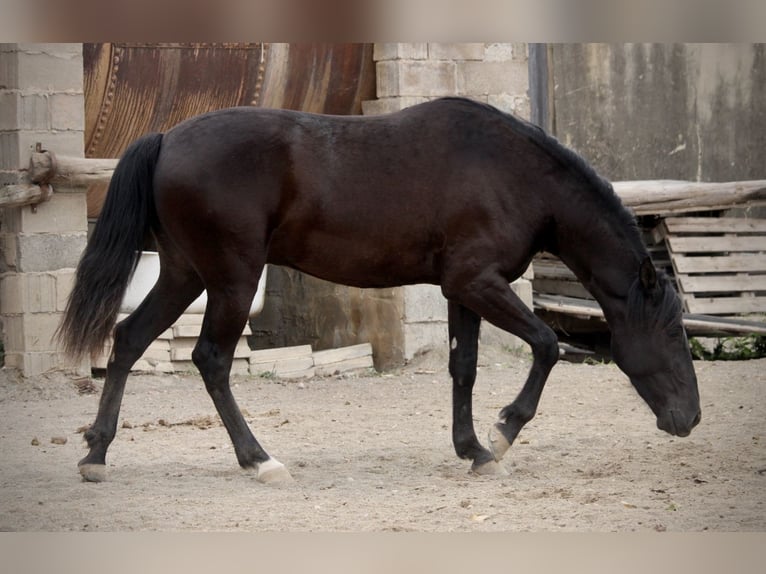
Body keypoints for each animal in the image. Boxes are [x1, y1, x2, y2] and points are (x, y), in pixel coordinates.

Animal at [57, 100, 700, 486]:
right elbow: (546, 345)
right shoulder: (479, 283)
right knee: (211, 360)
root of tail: (167, 137)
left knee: (128, 339)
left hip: (185, 275)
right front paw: (503, 433)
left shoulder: (462, 291)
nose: (690, 417)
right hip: (231, 280)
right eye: (672, 330)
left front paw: (472, 449)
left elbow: (463, 368)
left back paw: (96, 454)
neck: (513, 175)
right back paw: (259, 460)